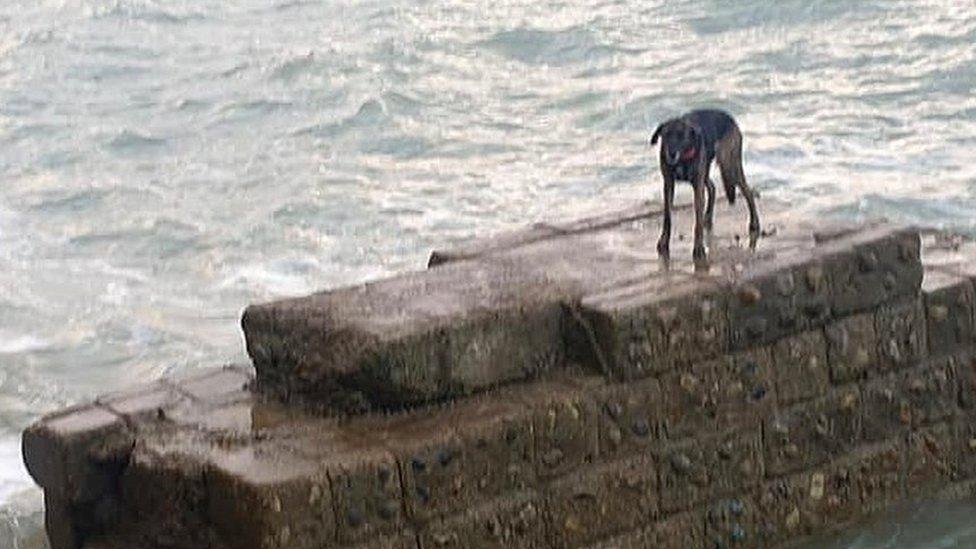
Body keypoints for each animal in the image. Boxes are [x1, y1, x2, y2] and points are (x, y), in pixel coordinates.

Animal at [652, 109, 760, 262]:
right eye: (666, 135)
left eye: (681, 135)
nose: (671, 154)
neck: (683, 158)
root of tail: (730, 118)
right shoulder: (668, 184)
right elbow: (667, 217)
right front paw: (664, 241)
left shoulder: (697, 186)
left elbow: (697, 222)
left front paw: (698, 248)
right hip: (708, 170)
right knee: (713, 187)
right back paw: (707, 218)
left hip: (729, 165)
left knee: (748, 192)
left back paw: (754, 223)